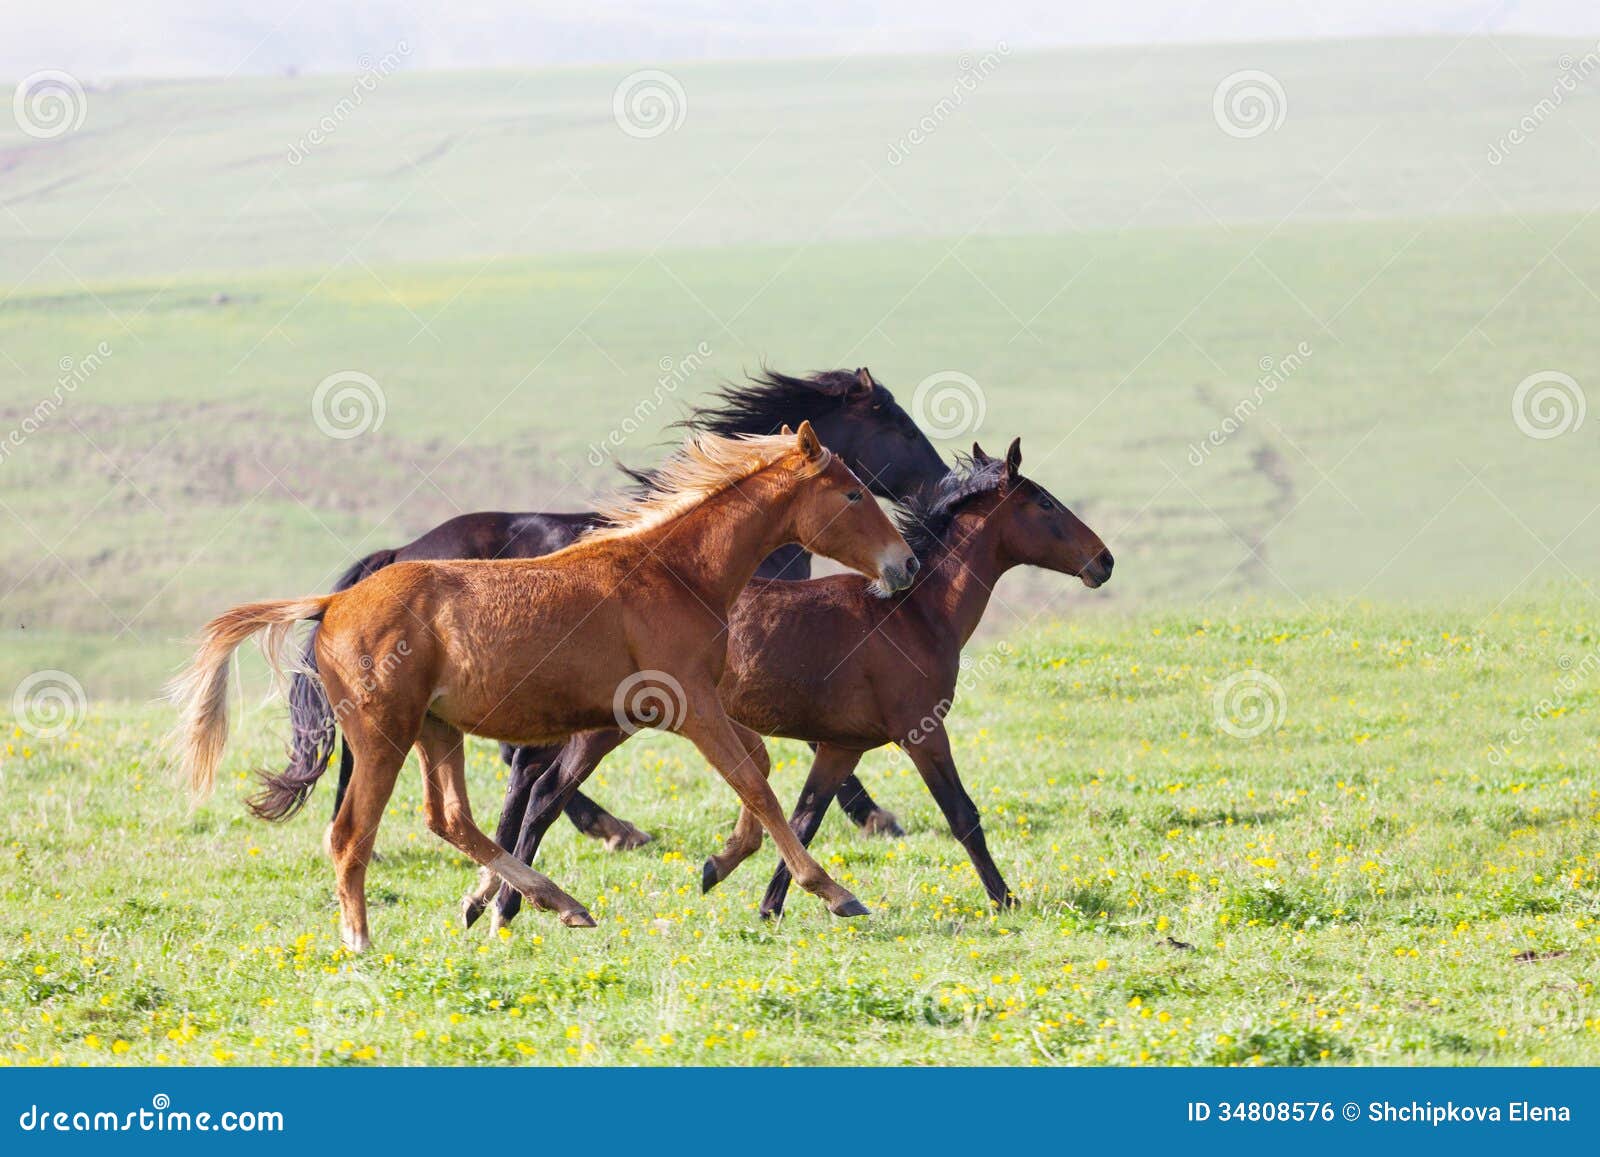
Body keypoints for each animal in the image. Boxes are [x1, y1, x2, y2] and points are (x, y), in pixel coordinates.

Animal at [168, 424, 920, 951]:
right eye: (853, 492)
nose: (906, 564)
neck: (674, 571)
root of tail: (335, 601)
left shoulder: (667, 709)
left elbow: (754, 770)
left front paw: (717, 864)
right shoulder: (688, 706)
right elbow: (754, 780)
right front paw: (834, 891)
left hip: (437, 730)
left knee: (449, 818)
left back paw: (558, 903)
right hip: (385, 734)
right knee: (352, 833)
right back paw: (361, 940)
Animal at [465, 437, 1112, 930]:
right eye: (1046, 502)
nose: (1103, 561)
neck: (914, 612)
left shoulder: (841, 746)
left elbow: (804, 816)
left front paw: (767, 901)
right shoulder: (922, 731)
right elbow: (962, 815)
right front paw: (1006, 898)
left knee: (536, 787)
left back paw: (495, 902)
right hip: (605, 729)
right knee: (544, 794)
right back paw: (507, 907)